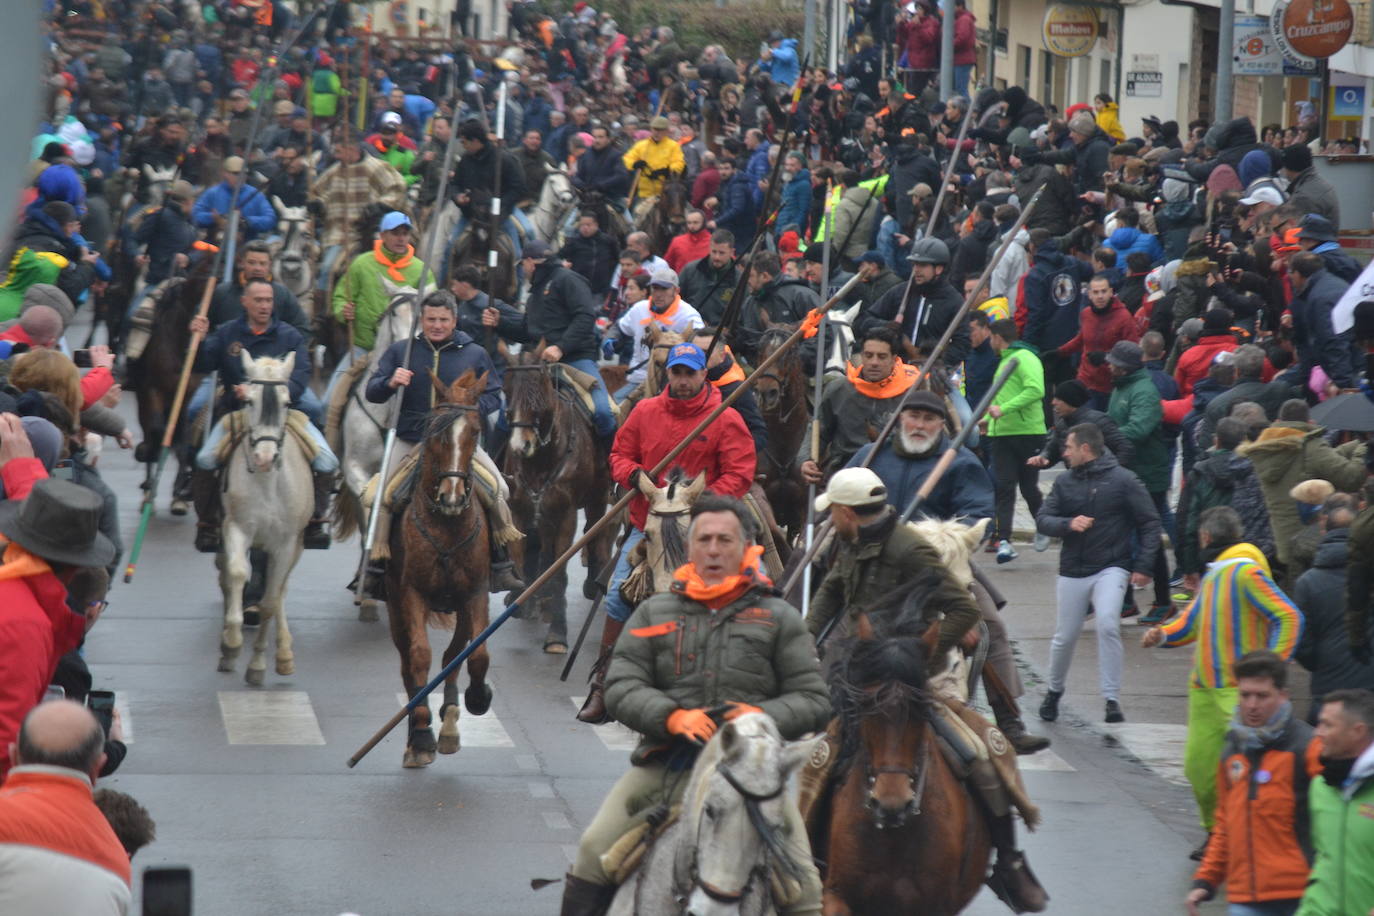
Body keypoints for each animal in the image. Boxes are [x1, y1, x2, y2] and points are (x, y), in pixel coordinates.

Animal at [214, 351, 314, 686]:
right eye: (248, 401)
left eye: (286, 402)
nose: (265, 458)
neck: (267, 483)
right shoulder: (236, 528)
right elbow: (236, 574)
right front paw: (231, 644)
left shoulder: (285, 544)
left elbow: (271, 601)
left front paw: (257, 664)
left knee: (279, 591)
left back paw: (283, 655)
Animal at [384, 368, 497, 769]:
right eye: (435, 431)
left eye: (475, 432)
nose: (451, 496)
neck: (447, 525)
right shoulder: (410, 594)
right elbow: (420, 657)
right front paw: (421, 735)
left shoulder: (474, 593)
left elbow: (473, 655)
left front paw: (476, 699)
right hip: (393, 606)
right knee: (406, 663)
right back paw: (416, 734)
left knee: (453, 657)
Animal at [502, 348, 615, 650]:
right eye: (507, 392)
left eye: (539, 396)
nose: (520, 446)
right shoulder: (521, 511)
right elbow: (523, 558)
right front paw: (525, 602)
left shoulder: (566, 514)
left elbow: (561, 571)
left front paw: (557, 633)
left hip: (598, 496)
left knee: (596, 532)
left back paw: (591, 583)